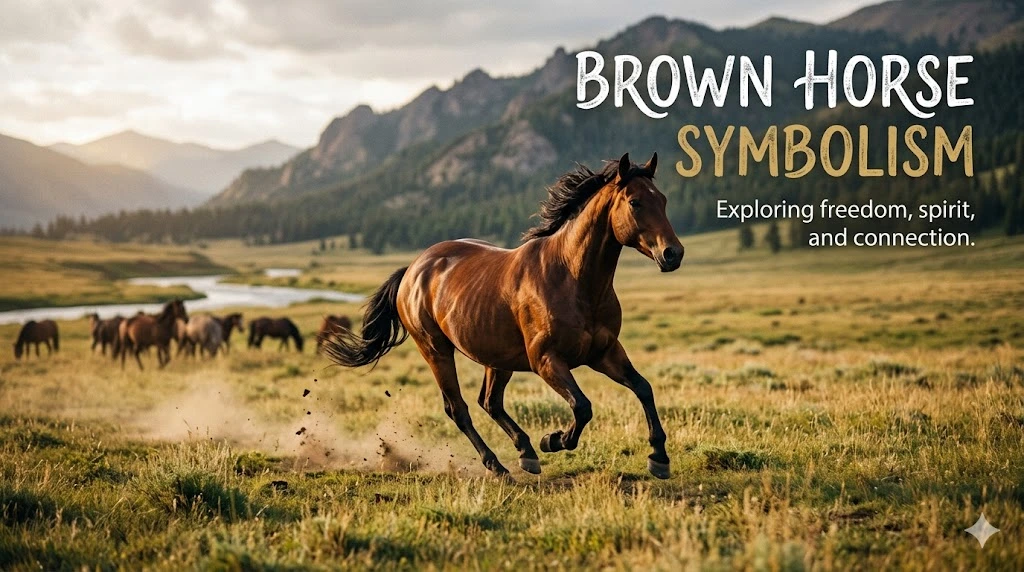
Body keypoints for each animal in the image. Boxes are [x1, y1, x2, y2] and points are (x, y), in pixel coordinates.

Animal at [324, 153, 683, 479]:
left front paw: (659, 458)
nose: (673, 254)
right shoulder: (546, 360)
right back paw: (497, 465)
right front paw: (554, 440)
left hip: (497, 357)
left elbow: (643, 388)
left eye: (663, 200)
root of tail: (413, 269)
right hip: (436, 350)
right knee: (459, 409)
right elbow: (582, 406)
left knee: (489, 402)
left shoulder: (604, 352)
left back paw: (526, 453)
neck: (572, 279)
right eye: (635, 202)